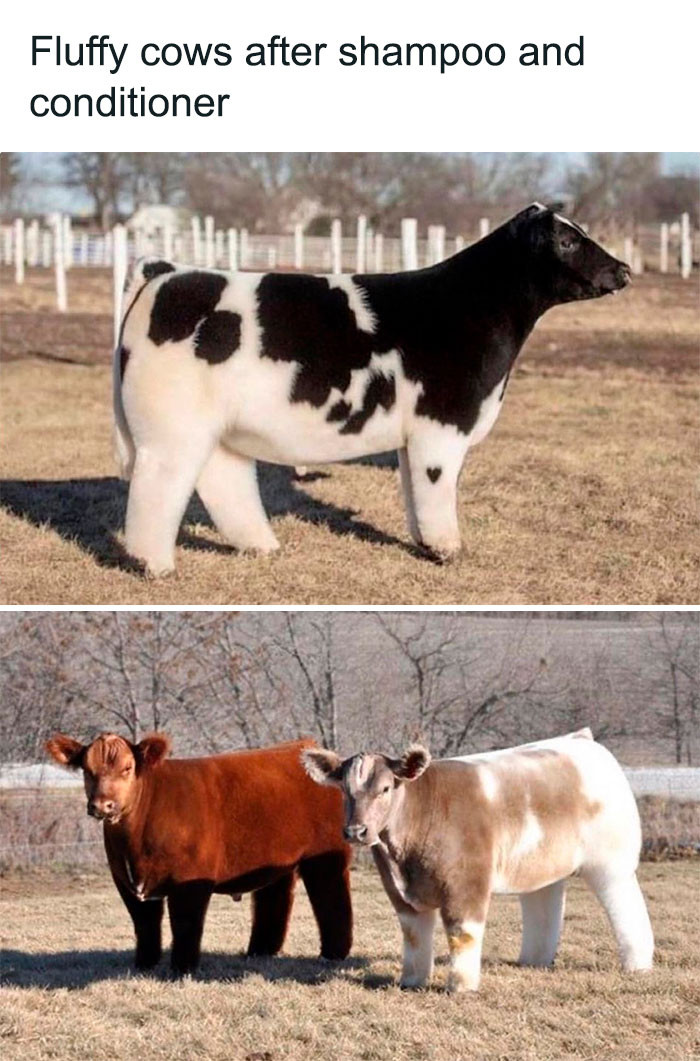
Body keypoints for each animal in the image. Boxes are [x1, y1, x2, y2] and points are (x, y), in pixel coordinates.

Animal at [46, 733, 352, 975]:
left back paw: (333, 954)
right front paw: (144, 965)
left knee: (332, 899)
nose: (102, 805)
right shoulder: (125, 881)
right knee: (273, 899)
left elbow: (185, 923)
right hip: (275, 860)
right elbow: (144, 924)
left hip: (325, 857)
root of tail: (306, 746)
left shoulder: (190, 880)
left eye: (128, 768)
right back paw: (261, 951)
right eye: (86, 770)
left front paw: (182, 969)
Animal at [113, 204, 630, 576]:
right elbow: (437, 489)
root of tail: (168, 271)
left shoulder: (414, 436)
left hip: (217, 429)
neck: (469, 308)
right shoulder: (442, 425)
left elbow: (413, 491)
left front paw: (424, 544)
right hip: (171, 428)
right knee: (159, 486)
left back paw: (261, 546)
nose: (624, 269)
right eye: (567, 240)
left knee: (224, 480)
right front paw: (448, 551)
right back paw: (154, 565)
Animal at [302, 729, 653, 993]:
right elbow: (414, 936)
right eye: (344, 790)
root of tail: (581, 740)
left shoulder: (466, 884)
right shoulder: (401, 894)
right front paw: (411, 981)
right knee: (542, 905)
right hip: (542, 864)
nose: (356, 831)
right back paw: (534, 959)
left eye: (386, 788)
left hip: (611, 864)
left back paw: (638, 964)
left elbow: (463, 935)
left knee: (627, 909)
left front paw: (461, 986)